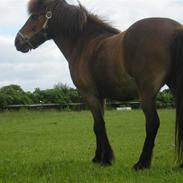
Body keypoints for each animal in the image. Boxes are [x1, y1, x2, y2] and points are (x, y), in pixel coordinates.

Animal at [15, 0, 183, 170]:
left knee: (152, 123)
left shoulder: (89, 95)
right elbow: (98, 125)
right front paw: (98, 157)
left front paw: (106, 159)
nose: (17, 41)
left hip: (147, 93)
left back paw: (141, 163)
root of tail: (175, 29)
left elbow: (99, 126)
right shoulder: (100, 97)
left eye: (34, 17)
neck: (84, 42)